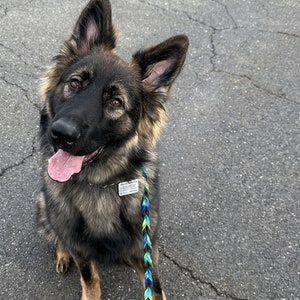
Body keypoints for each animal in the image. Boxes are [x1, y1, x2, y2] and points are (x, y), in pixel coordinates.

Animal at [36, 1, 189, 298]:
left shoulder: (144, 249)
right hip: (43, 207)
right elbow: (90, 279)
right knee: (57, 236)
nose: (60, 134)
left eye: (116, 102)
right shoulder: (82, 250)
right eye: (75, 83)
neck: (99, 186)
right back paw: (62, 254)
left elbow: (156, 288)